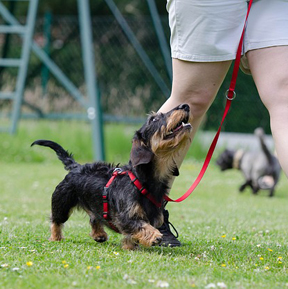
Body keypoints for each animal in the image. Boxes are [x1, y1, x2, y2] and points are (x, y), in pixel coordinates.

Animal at [31, 104, 194, 250]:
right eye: (154, 119)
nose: (185, 105)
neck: (141, 180)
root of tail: (76, 166)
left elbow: (132, 234)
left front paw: (130, 246)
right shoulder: (124, 217)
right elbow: (140, 226)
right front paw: (154, 236)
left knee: (94, 218)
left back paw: (99, 234)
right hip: (62, 203)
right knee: (56, 221)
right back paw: (55, 237)